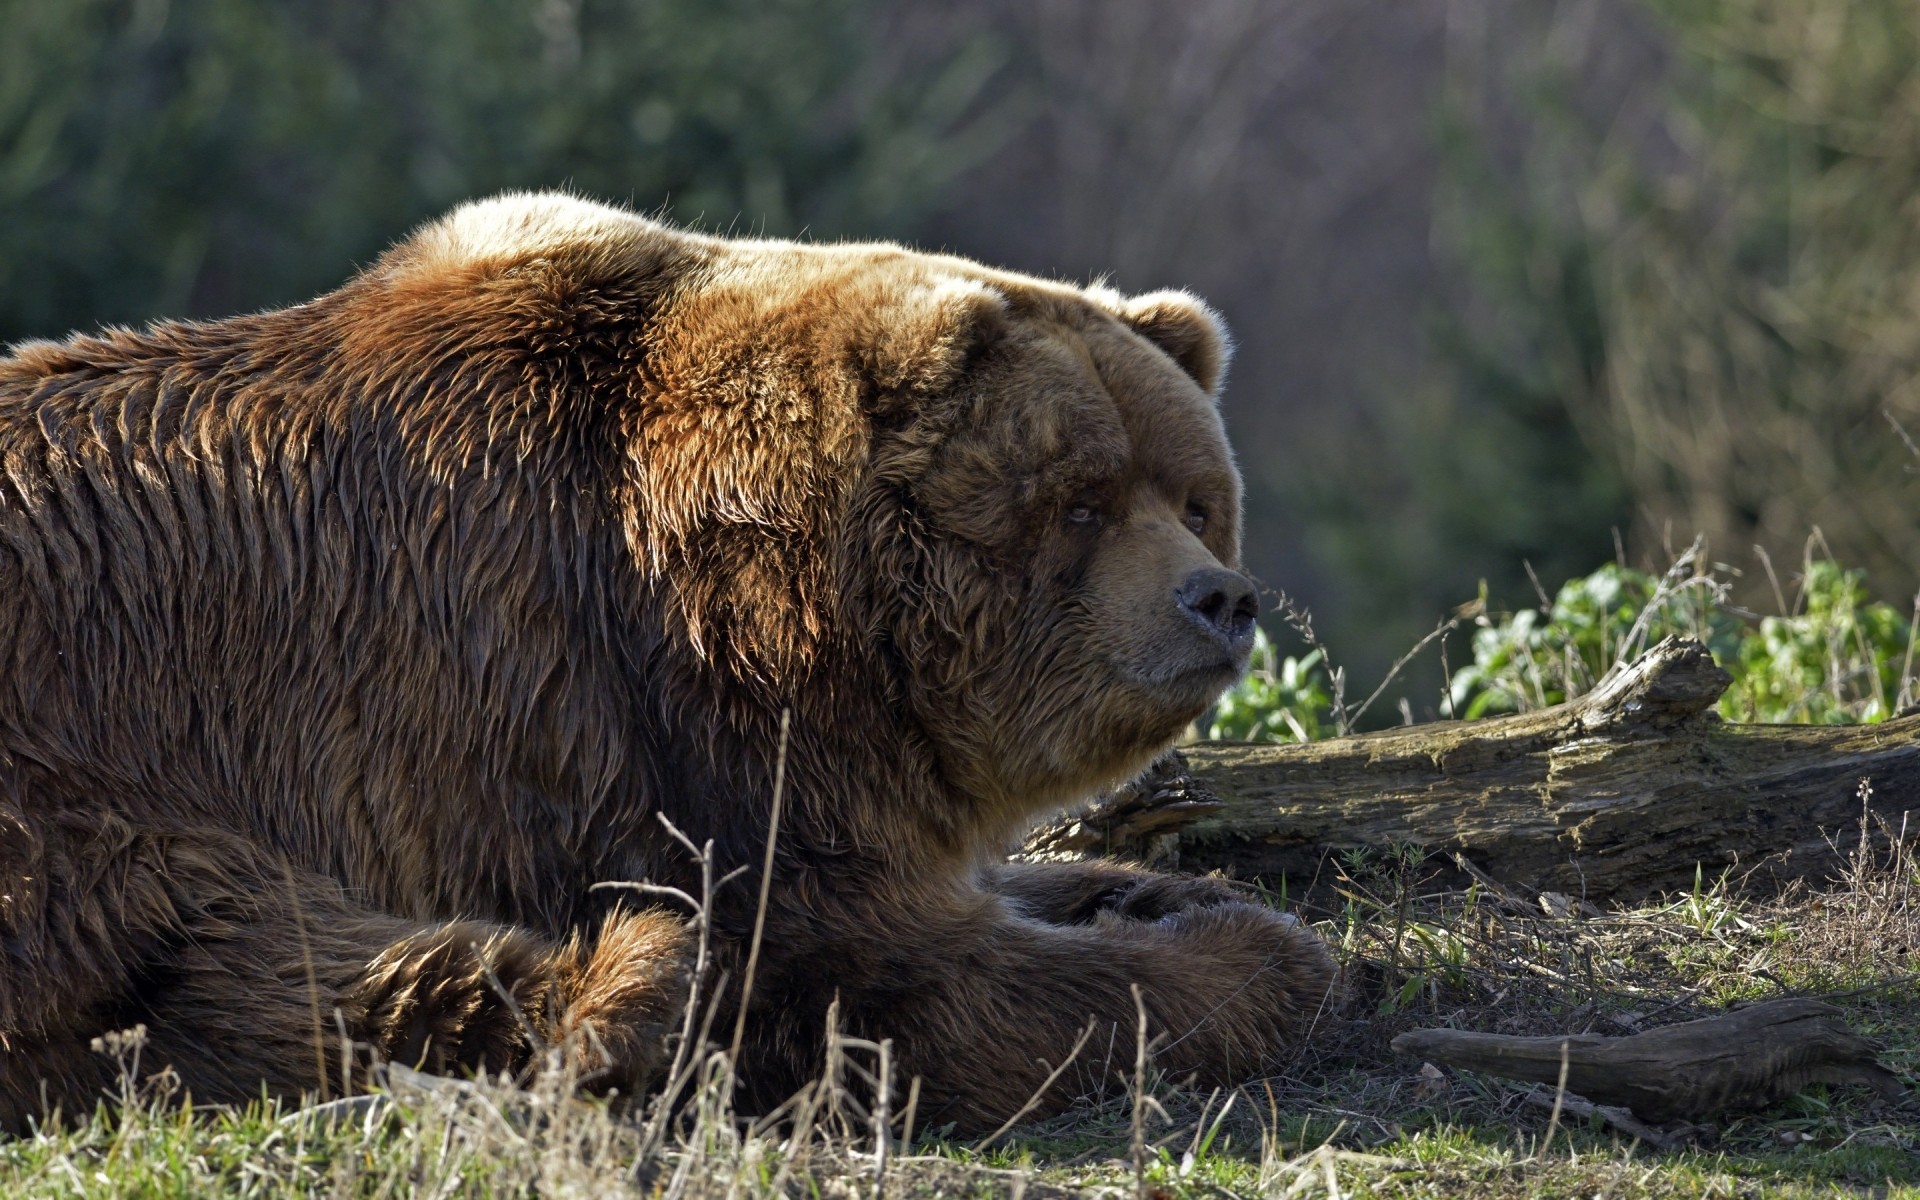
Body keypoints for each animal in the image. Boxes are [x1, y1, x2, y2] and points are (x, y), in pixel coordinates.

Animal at [0, 189, 1336, 1128]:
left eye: (1196, 497)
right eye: (1082, 501)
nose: (1219, 598)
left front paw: (1152, 888)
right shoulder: (645, 724)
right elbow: (879, 975)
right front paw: (1251, 959)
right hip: (88, 771)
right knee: (233, 955)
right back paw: (631, 986)